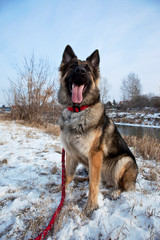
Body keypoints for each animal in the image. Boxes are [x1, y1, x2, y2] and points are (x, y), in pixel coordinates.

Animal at [57, 45, 138, 218]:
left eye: (87, 68)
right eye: (73, 66)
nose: (80, 71)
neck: (77, 111)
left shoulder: (95, 154)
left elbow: (93, 184)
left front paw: (91, 206)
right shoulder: (71, 153)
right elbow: (67, 175)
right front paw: (61, 190)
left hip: (123, 161)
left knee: (121, 185)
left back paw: (115, 192)